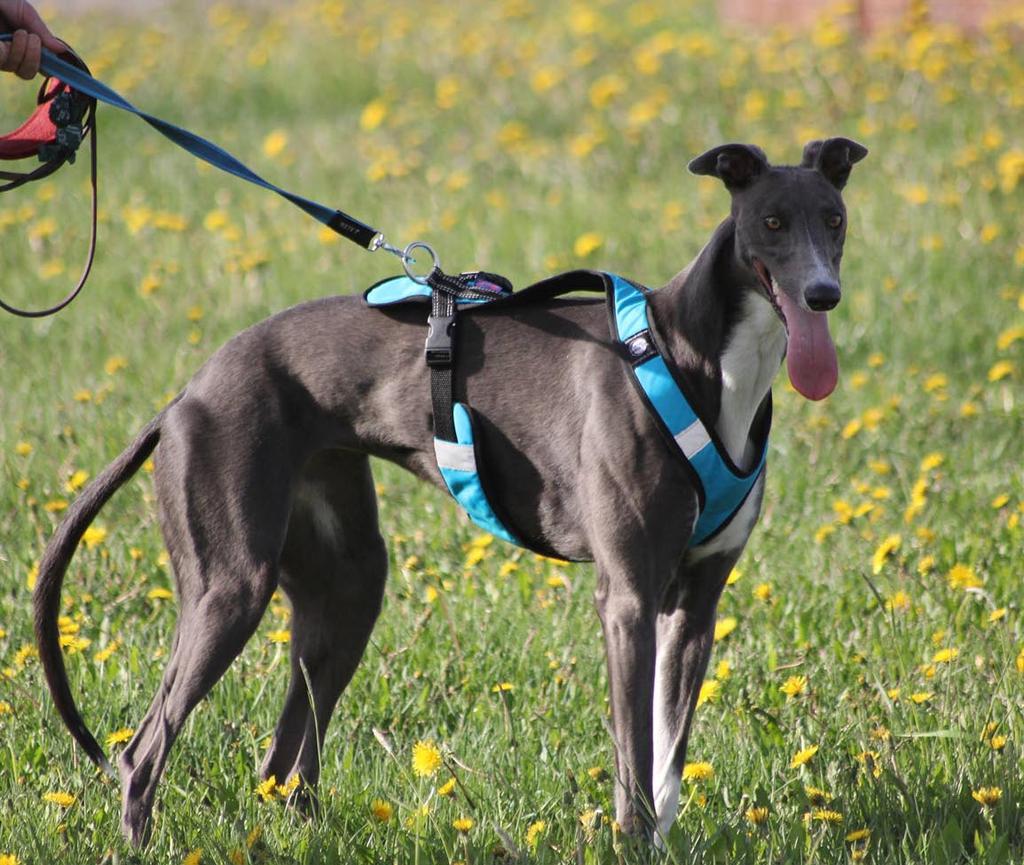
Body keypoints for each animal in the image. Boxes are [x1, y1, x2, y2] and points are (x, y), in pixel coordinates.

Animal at [32, 137, 864, 843]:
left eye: (835, 219)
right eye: (772, 222)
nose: (823, 294)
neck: (692, 355)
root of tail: (185, 395)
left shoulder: (696, 600)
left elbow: (665, 761)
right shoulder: (628, 595)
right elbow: (633, 762)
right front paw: (635, 844)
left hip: (347, 588)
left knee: (283, 764)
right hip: (228, 584)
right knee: (144, 750)